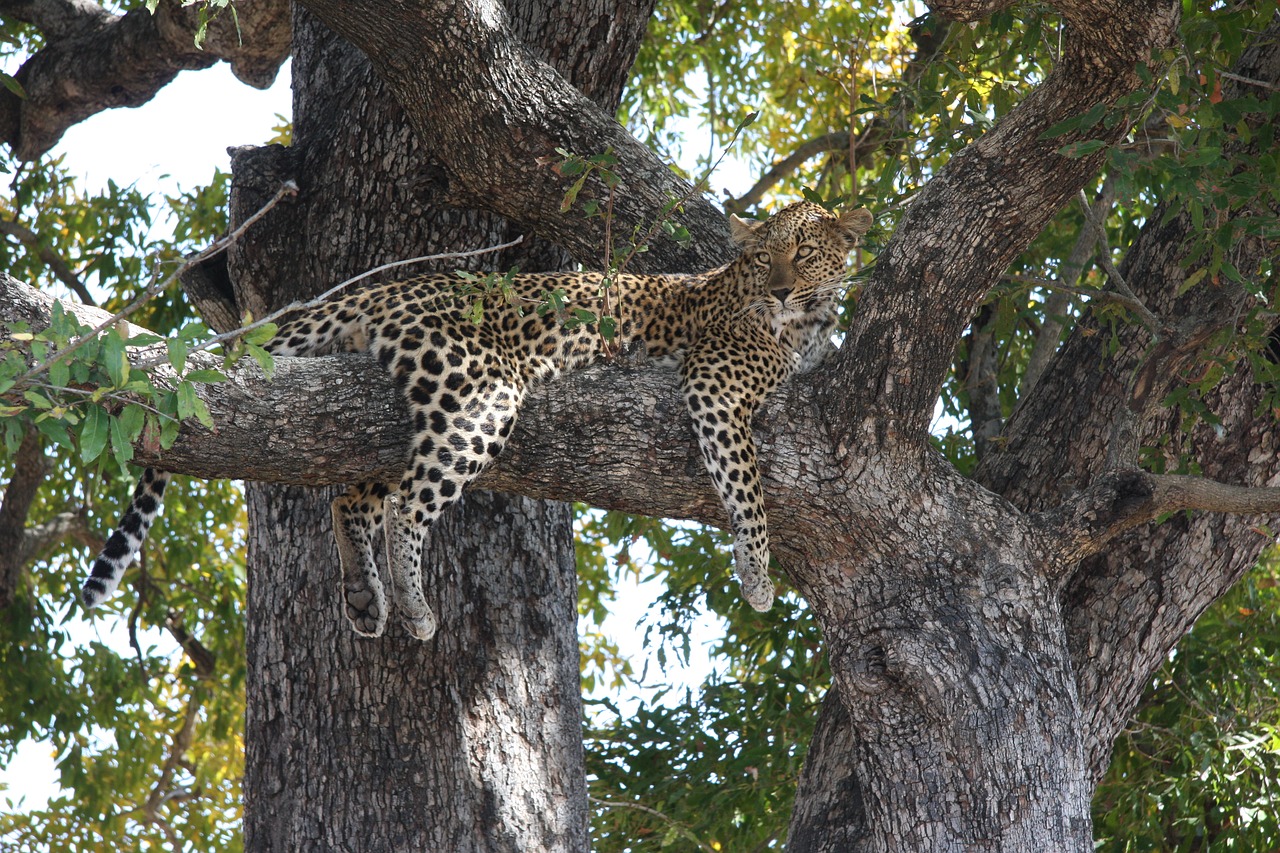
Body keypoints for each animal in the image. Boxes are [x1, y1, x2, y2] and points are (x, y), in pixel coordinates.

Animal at [85, 199, 875, 637]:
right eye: (760, 257)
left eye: (803, 251)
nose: (779, 289)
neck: (803, 321)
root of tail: (386, 289)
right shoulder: (714, 383)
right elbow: (747, 486)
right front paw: (759, 575)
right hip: (483, 390)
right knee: (407, 507)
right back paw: (414, 605)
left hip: (411, 410)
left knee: (353, 498)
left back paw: (364, 597)